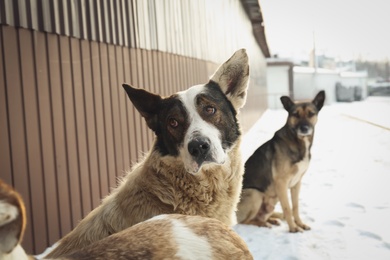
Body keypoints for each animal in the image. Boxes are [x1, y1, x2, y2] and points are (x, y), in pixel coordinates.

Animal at [238, 90, 326, 233]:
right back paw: (265, 224)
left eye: (311, 114)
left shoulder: (296, 183)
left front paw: (300, 224)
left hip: (273, 200)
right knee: (245, 221)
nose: (304, 128)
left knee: (263, 216)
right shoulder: (281, 183)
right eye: (295, 114)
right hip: (255, 194)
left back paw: (272, 220)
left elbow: (295, 207)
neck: (298, 143)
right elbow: (288, 208)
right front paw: (293, 228)